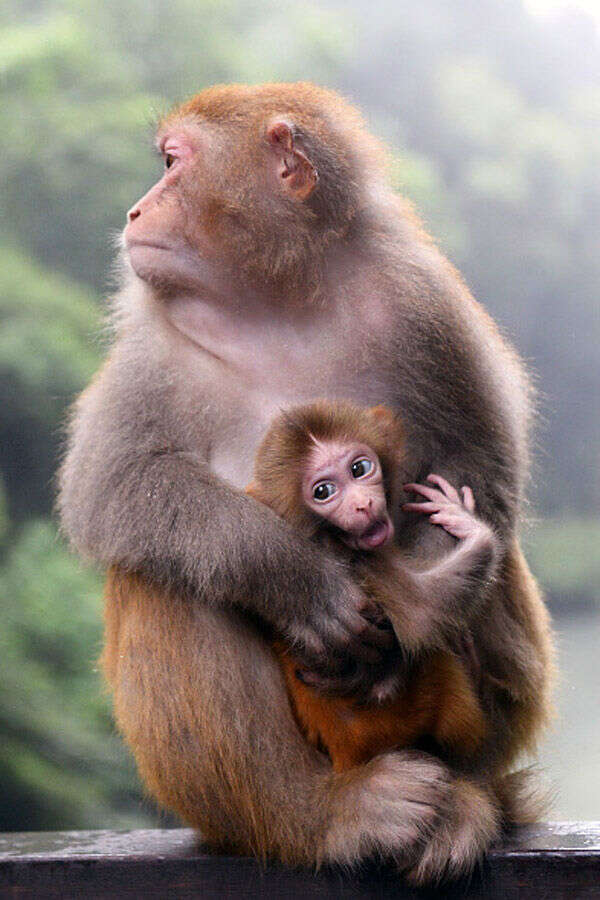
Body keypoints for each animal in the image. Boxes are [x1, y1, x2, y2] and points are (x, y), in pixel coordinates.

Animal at [246, 400, 496, 773]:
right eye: (323, 492)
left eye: (359, 468)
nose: (362, 505)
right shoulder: (359, 560)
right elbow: (423, 614)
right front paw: (466, 522)